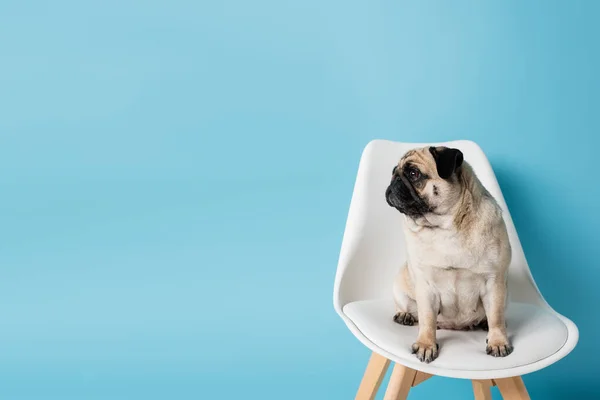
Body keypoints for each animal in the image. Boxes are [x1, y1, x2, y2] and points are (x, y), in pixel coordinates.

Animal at [384, 146, 510, 362]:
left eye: (413, 173)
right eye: (394, 172)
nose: (394, 180)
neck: (445, 227)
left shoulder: (494, 281)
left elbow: (496, 316)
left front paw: (498, 341)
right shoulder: (425, 286)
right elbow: (427, 319)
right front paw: (426, 345)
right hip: (400, 285)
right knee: (408, 308)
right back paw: (404, 315)